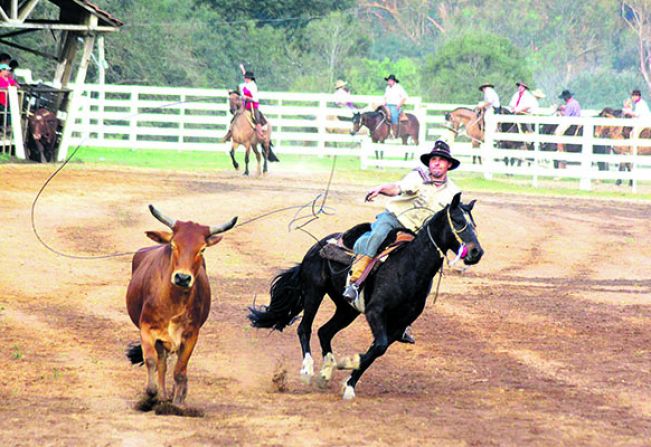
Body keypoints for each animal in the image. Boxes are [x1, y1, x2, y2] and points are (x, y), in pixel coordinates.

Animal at [250, 194, 484, 400]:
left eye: (473, 223)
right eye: (458, 221)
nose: (476, 252)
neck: (409, 266)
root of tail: (318, 245)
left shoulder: (399, 324)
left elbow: (376, 350)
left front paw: (348, 381)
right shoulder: (375, 312)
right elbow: (378, 346)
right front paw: (349, 366)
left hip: (347, 309)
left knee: (324, 332)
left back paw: (326, 372)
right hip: (314, 292)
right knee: (304, 328)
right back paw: (307, 370)